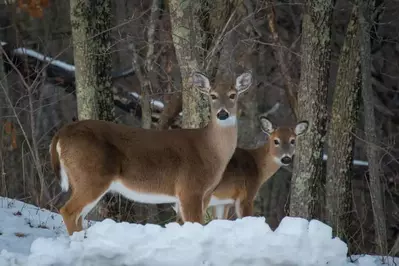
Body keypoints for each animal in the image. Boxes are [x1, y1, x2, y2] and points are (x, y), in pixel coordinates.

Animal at [50, 70, 253, 235]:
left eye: (233, 95)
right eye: (212, 95)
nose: (222, 113)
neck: (210, 150)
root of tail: (61, 134)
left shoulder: (205, 193)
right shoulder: (189, 188)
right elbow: (195, 224)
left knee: (77, 216)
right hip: (92, 176)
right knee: (68, 211)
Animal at [174, 115, 310, 221]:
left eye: (293, 140)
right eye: (276, 141)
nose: (286, 158)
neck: (257, 164)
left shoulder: (223, 202)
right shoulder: (246, 194)